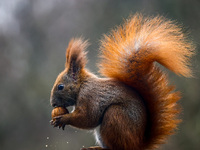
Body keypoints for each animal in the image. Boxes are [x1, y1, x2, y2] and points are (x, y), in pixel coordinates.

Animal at [50, 13, 195, 149]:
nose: (52, 104)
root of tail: (138, 144)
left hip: (115, 116)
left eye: (60, 87)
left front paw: (63, 119)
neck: (82, 86)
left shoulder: (90, 97)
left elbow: (88, 118)